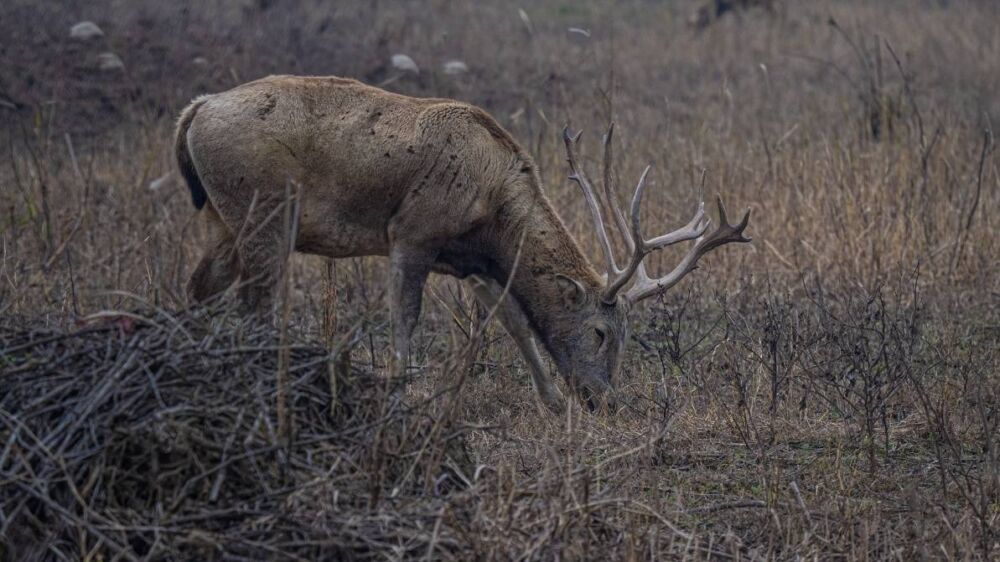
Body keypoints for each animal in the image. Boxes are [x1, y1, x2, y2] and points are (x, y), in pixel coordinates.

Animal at [176, 74, 752, 412]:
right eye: (600, 332)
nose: (603, 399)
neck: (493, 210)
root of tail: (195, 109)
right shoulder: (412, 232)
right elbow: (404, 318)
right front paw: (402, 389)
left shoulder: (474, 261)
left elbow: (515, 321)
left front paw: (551, 401)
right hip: (264, 212)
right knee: (254, 302)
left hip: (223, 219)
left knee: (200, 287)